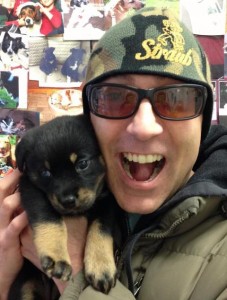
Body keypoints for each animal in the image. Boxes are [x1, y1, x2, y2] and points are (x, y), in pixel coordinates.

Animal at [7, 113, 117, 298]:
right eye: (45, 173)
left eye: (82, 164)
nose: (68, 201)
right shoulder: (30, 188)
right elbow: (48, 219)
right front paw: (56, 257)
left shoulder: (108, 201)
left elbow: (101, 228)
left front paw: (101, 266)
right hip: (24, 286)